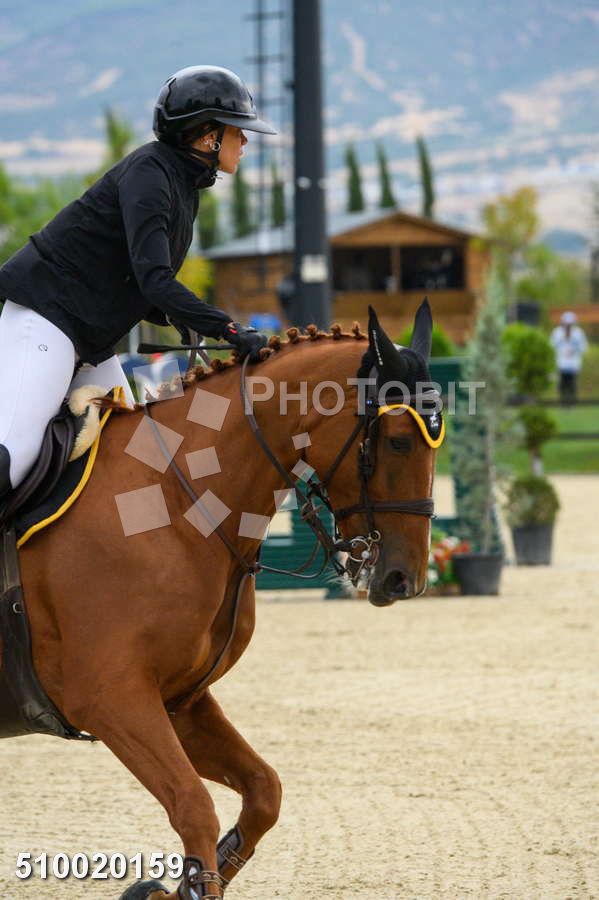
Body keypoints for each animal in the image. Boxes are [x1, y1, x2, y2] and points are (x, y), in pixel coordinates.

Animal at [14, 302, 443, 899]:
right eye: (400, 439)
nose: (406, 579)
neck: (177, 503)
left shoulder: (179, 699)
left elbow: (263, 792)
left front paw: (174, 887)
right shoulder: (109, 697)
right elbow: (194, 806)